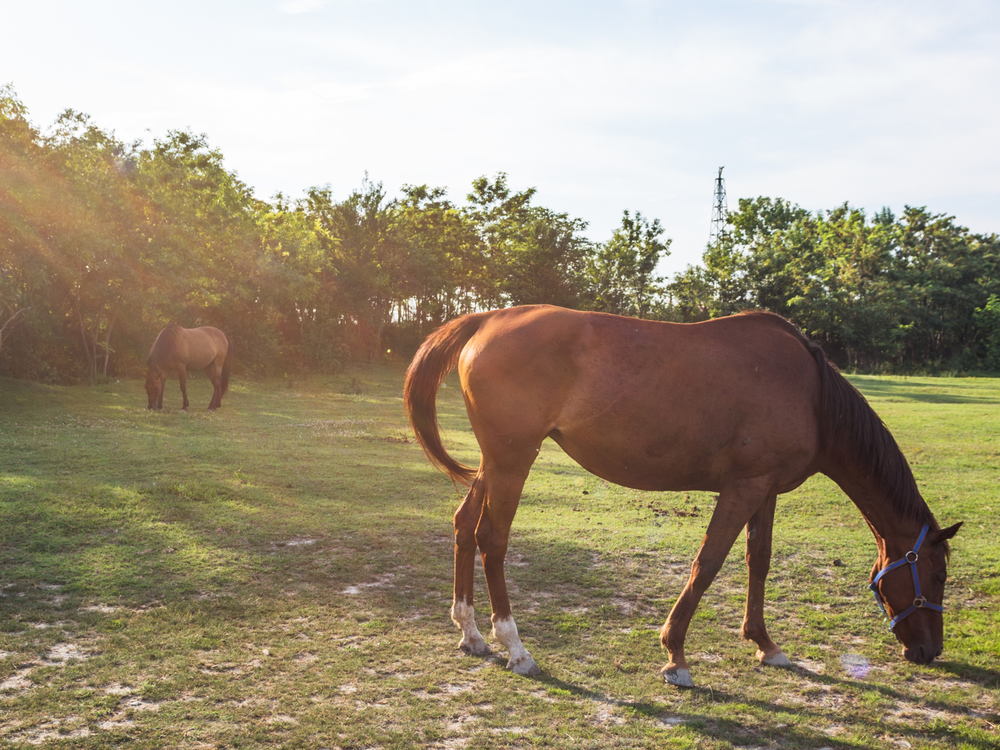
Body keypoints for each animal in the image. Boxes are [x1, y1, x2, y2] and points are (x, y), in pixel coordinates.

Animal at [404, 305, 962, 687]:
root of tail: (488, 318)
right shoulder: (742, 489)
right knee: (491, 539)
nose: (929, 651)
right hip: (512, 460)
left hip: (494, 462)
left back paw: (471, 632)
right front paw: (676, 656)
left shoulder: (765, 491)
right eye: (937, 575)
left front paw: (765, 644)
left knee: (463, 526)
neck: (811, 394)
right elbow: (707, 563)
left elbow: (759, 560)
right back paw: (515, 648)